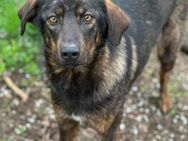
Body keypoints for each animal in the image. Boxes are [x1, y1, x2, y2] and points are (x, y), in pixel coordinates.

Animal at [17, 0, 187, 140]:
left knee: (165, 74)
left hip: (169, 46)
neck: (76, 81)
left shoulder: (110, 130)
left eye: (88, 17)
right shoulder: (66, 124)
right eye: (52, 18)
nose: (70, 53)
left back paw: (164, 101)